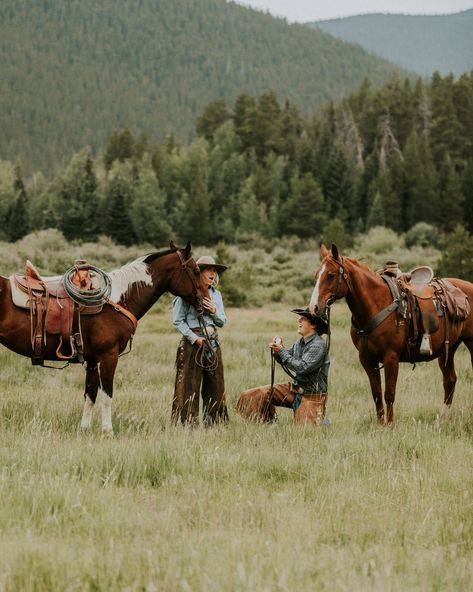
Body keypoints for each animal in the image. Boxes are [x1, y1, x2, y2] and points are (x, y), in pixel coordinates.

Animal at [0, 243, 206, 432]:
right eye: (196, 271)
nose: (205, 302)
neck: (117, 300)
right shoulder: (108, 356)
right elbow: (107, 393)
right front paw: (108, 430)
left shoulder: (92, 360)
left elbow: (90, 394)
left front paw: (84, 429)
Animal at [310, 245, 472, 426]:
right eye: (317, 275)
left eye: (331, 275)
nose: (314, 307)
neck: (376, 305)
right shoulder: (366, 359)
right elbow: (376, 394)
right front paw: (381, 424)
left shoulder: (391, 358)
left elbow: (389, 393)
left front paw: (390, 424)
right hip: (448, 349)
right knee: (450, 380)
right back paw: (443, 419)